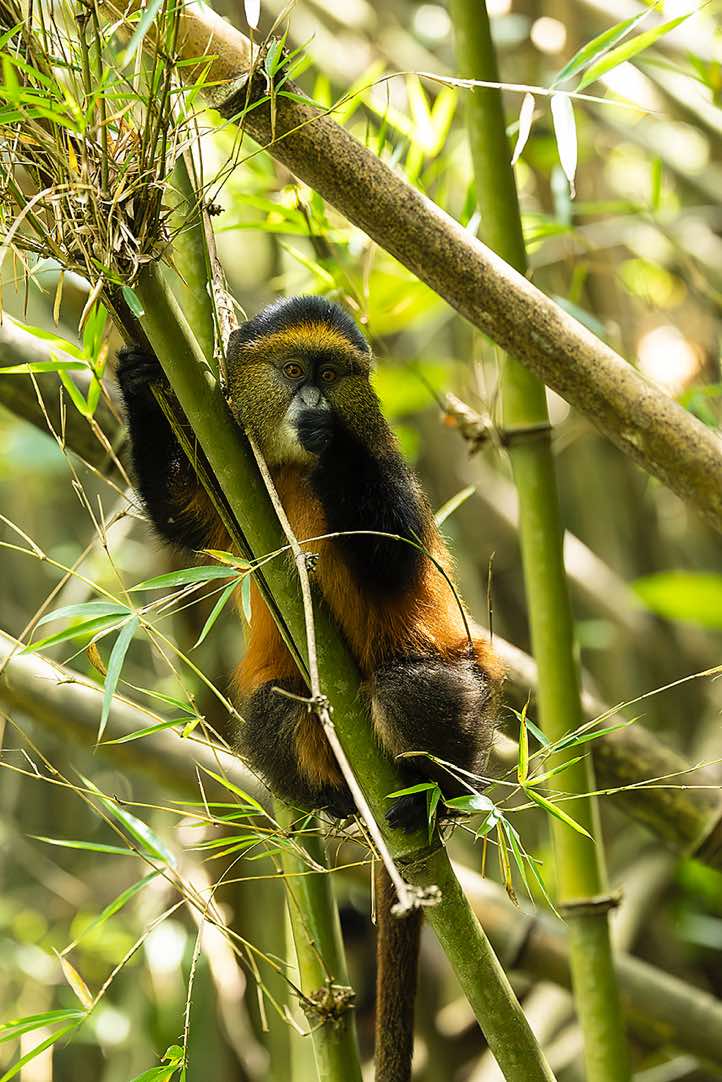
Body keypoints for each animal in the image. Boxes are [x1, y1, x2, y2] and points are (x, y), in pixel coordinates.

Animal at [117, 294, 502, 1082]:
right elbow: (183, 521)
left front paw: (341, 442)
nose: (316, 402)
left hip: (465, 694)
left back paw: (431, 792)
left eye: (331, 373)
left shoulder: (387, 471)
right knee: (276, 708)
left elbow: (391, 556)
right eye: (294, 369)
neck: (297, 469)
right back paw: (337, 801)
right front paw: (139, 377)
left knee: (410, 689)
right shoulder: (233, 482)